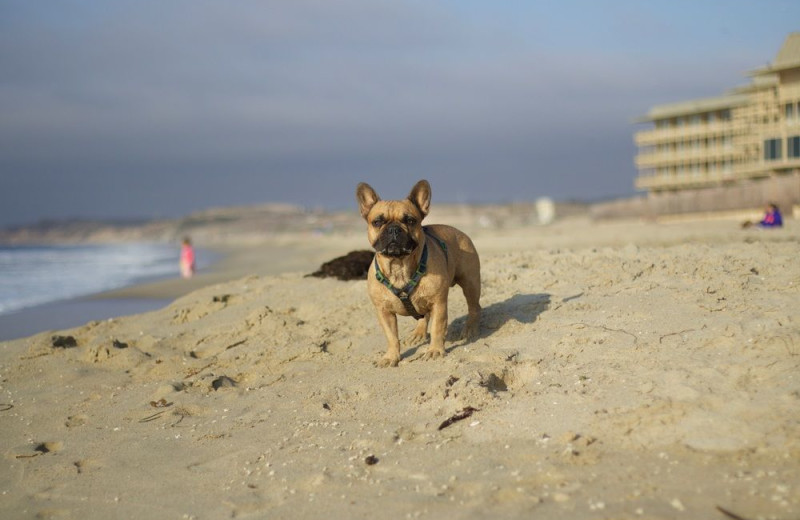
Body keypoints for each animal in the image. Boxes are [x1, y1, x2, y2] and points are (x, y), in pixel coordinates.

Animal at [356, 181, 482, 368]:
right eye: (377, 222)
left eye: (410, 220)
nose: (394, 229)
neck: (399, 266)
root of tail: (459, 231)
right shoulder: (384, 311)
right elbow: (391, 336)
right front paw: (391, 357)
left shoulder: (438, 303)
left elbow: (437, 327)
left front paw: (435, 350)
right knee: (423, 315)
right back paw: (418, 333)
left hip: (470, 283)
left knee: (474, 307)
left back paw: (470, 329)